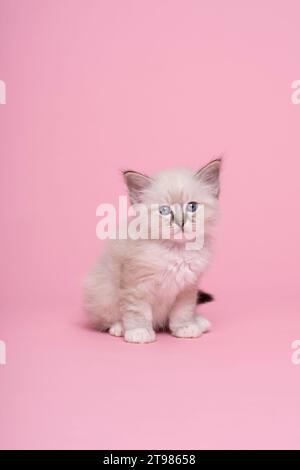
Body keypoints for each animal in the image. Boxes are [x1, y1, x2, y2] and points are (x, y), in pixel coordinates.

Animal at [84, 160, 220, 344]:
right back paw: (119, 327)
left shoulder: (188, 287)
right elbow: (137, 311)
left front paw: (185, 327)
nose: (181, 223)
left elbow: (183, 311)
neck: (175, 252)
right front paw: (138, 331)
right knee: (104, 319)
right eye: (164, 211)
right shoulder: (135, 285)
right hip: (102, 293)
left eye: (192, 207)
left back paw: (198, 321)